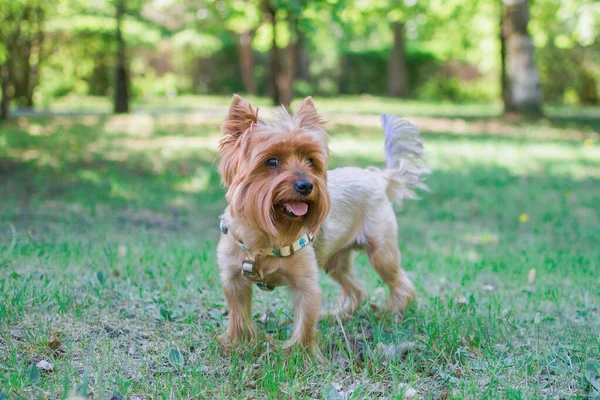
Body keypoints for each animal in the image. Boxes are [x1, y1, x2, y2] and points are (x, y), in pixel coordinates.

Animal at [216, 95, 426, 352]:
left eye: (310, 161)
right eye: (271, 161)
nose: (306, 185)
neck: (266, 233)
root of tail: (376, 176)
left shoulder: (306, 283)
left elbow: (305, 321)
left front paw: (298, 353)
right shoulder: (233, 279)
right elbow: (238, 313)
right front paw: (238, 343)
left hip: (381, 251)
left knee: (398, 281)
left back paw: (395, 313)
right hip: (335, 260)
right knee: (356, 289)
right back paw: (337, 315)